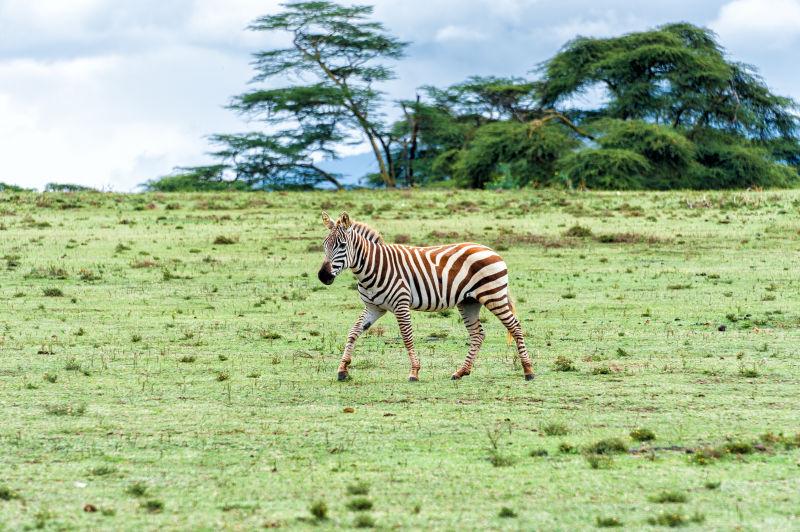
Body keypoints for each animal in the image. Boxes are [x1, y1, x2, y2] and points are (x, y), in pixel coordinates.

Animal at [316, 212, 536, 382]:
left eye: (342, 245)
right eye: (324, 245)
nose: (323, 276)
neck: (373, 267)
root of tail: (490, 249)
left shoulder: (401, 304)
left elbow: (406, 337)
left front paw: (414, 372)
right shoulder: (374, 307)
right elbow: (353, 332)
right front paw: (343, 369)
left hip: (493, 295)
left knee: (515, 327)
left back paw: (528, 370)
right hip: (469, 302)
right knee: (477, 334)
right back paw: (461, 372)